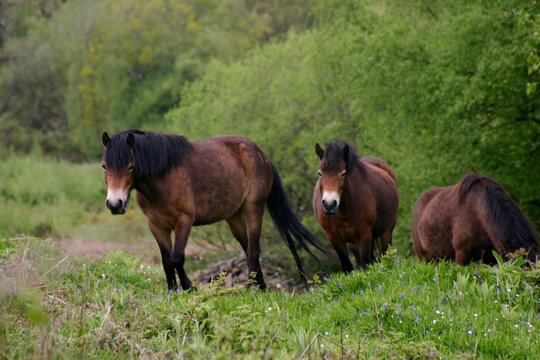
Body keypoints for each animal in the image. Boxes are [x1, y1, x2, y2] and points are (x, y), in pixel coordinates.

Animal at [101, 131, 324, 292]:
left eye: (130, 167)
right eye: (104, 166)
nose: (114, 204)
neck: (162, 177)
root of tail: (260, 153)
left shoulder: (184, 221)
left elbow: (177, 257)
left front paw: (189, 288)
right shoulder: (156, 225)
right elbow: (166, 261)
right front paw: (172, 291)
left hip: (254, 208)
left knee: (253, 249)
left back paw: (254, 289)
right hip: (233, 216)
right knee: (247, 248)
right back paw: (260, 286)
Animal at [312, 139, 396, 272]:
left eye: (343, 173)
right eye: (320, 173)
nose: (329, 204)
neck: (343, 212)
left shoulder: (365, 235)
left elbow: (365, 263)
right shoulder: (334, 237)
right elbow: (347, 266)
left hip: (386, 232)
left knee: (384, 254)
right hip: (352, 243)